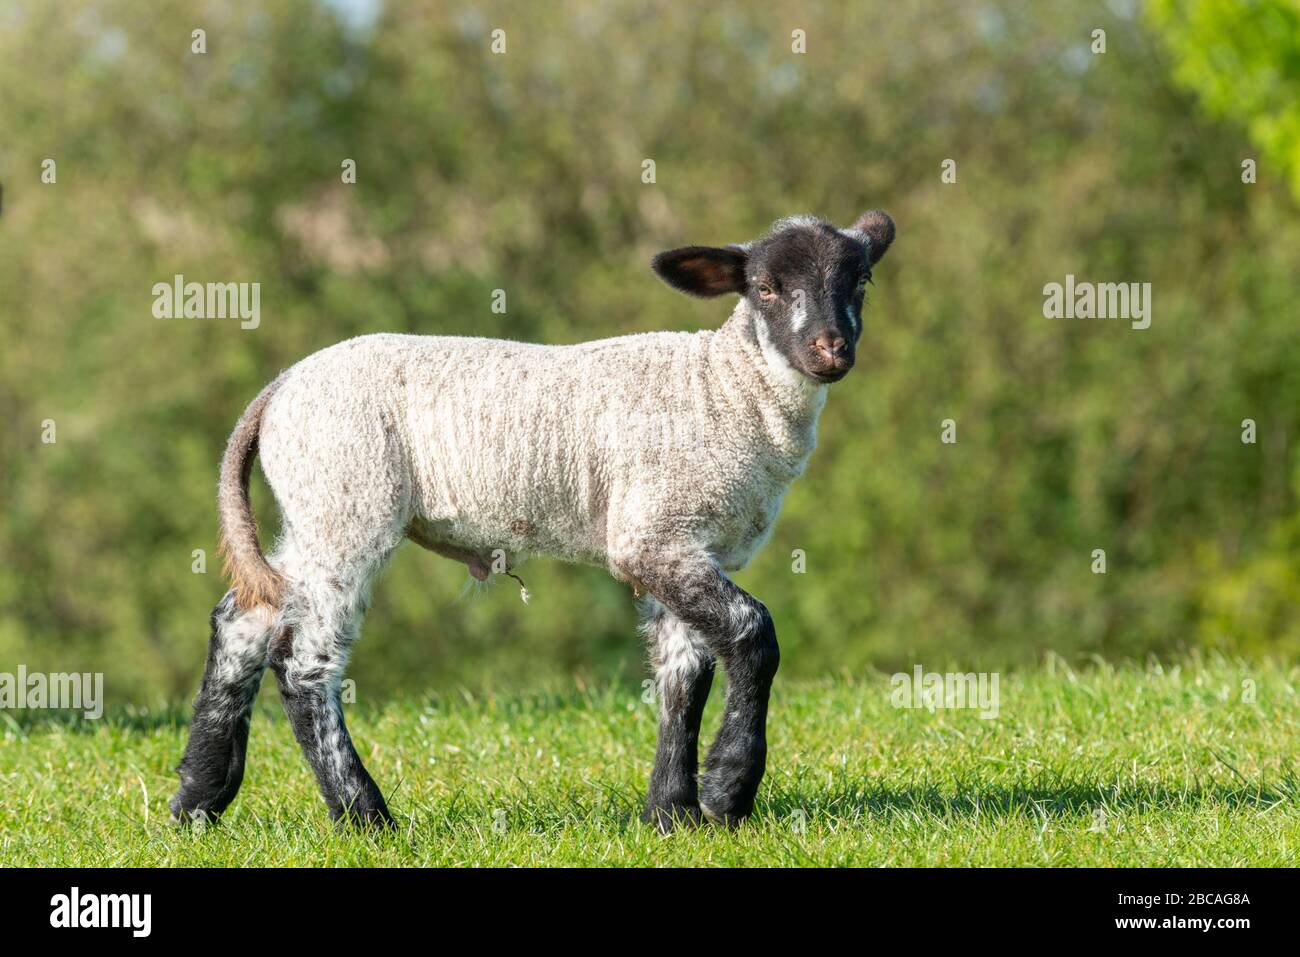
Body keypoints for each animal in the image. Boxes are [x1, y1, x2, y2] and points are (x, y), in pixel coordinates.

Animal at [170, 208, 894, 832]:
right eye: (766, 288)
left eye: (860, 281)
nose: (830, 350)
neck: (727, 388)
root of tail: (278, 391)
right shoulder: (652, 534)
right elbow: (752, 634)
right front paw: (727, 792)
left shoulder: (682, 540)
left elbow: (683, 676)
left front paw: (672, 814)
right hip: (347, 503)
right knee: (303, 661)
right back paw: (365, 816)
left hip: (314, 512)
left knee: (243, 618)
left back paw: (198, 800)